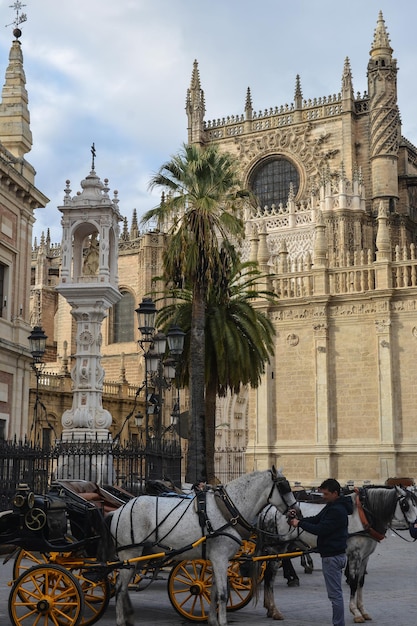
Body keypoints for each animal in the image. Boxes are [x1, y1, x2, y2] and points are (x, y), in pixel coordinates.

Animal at [108, 466, 296, 624]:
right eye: (284, 488)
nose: (297, 512)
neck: (229, 510)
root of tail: (118, 511)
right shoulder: (220, 558)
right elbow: (222, 594)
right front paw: (222, 622)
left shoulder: (217, 559)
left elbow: (213, 592)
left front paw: (212, 620)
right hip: (129, 555)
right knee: (119, 588)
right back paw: (121, 620)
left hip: (141, 555)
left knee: (123, 588)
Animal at [254, 482, 416, 620]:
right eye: (405, 505)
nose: (415, 527)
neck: (362, 514)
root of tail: (267, 509)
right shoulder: (355, 555)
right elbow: (353, 582)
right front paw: (355, 612)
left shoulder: (365, 557)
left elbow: (361, 582)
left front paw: (363, 610)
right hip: (277, 548)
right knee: (270, 576)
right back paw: (275, 608)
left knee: (268, 575)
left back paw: (270, 607)